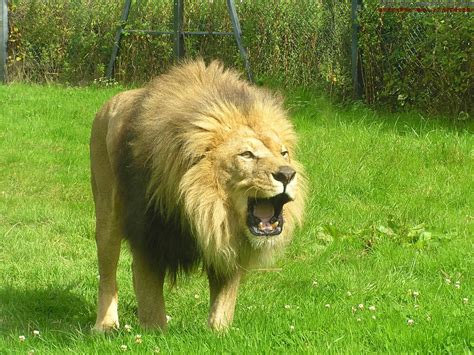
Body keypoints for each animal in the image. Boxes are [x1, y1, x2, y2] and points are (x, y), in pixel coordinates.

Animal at [90, 59, 308, 334]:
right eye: (247, 154)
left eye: (284, 153)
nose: (287, 174)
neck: (205, 206)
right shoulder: (149, 235)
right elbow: (150, 298)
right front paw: (155, 334)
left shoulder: (227, 242)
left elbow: (224, 303)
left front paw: (219, 333)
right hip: (107, 216)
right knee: (107, 275)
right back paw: (105, 325)